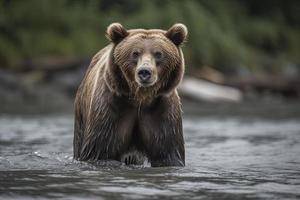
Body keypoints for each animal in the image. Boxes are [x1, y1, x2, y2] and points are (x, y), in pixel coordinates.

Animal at [73, 22, 188, 167]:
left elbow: (168, 153)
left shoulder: (162, 111)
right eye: (135, 53)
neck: (140, 97)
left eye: (158, 54)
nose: (144, 72)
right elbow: (100, 151)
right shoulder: (111, 108)